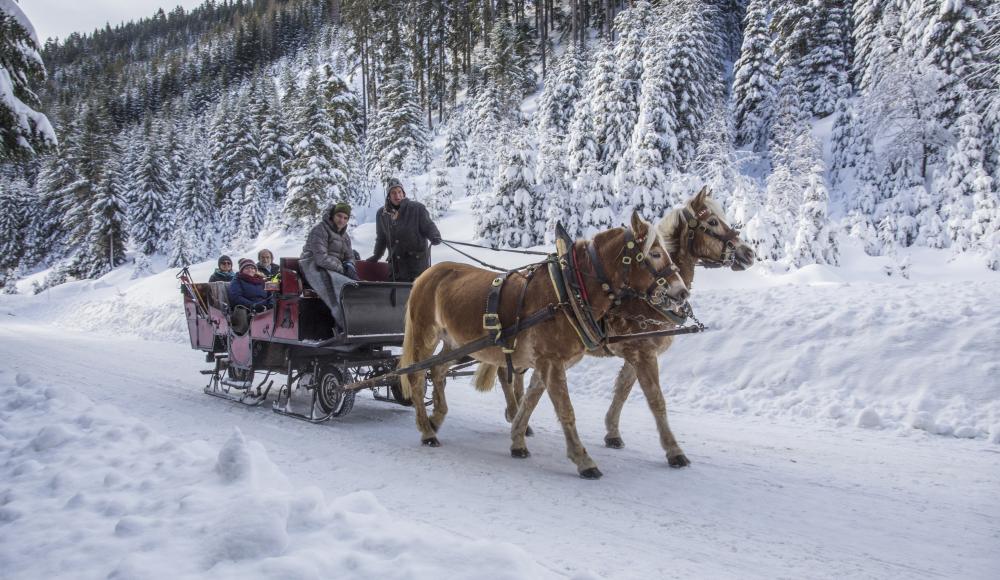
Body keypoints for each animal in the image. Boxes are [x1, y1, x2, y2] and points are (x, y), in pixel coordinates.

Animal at [496, 188, 752, 468]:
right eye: (713, 222)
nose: (748, 253)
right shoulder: (642, 352)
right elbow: (655, 399)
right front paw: (674, 451)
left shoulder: (637, 352)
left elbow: (622, 390)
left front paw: (612, 433)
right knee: (506, 372)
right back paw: (513, 413)